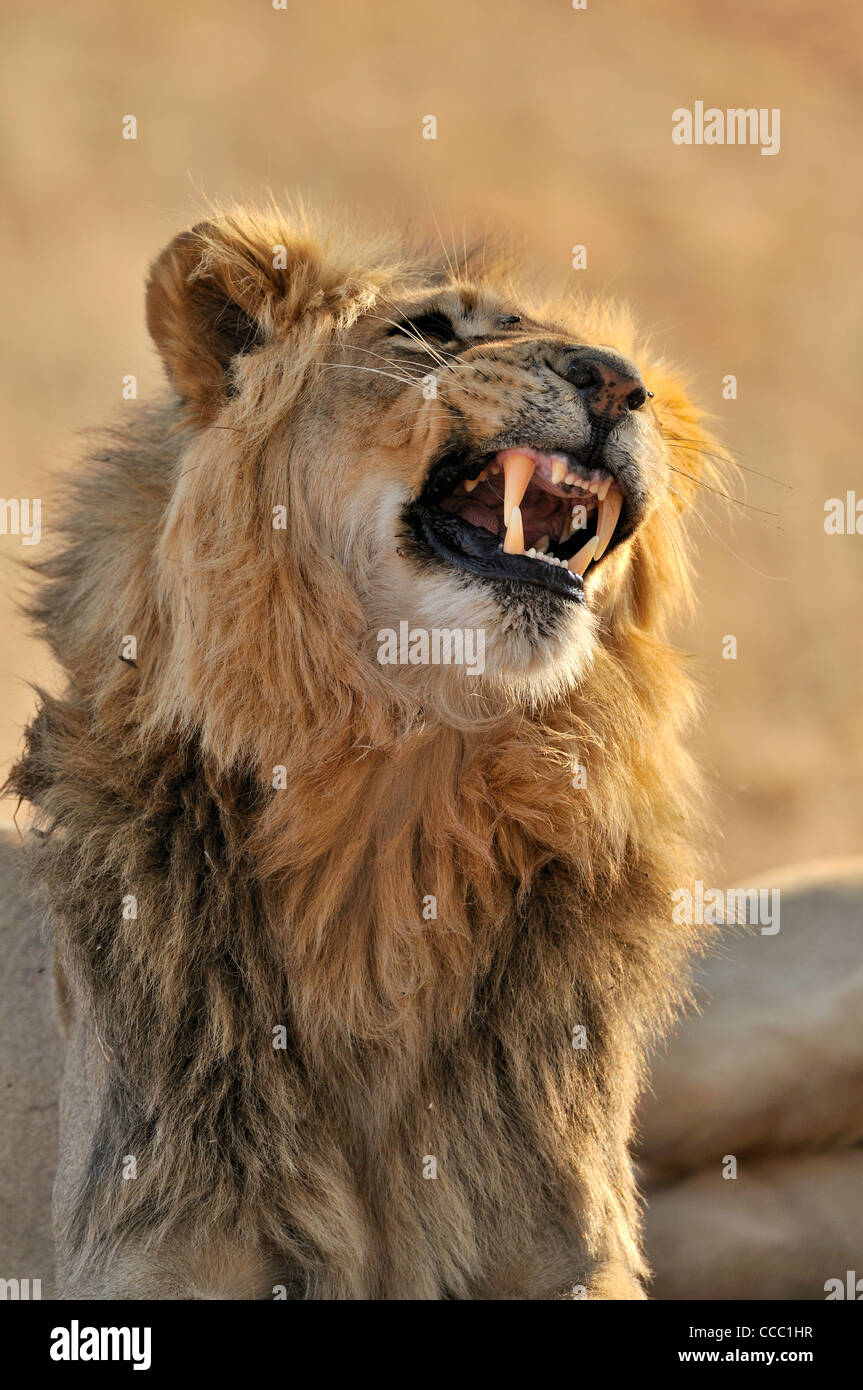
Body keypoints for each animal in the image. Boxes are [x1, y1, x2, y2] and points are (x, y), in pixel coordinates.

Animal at [5, 208, 722, 1301]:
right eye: (427, 330)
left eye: (628, 376)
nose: (614, 381)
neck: (402, 792)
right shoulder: (150, 1236)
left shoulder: (567, 1249)